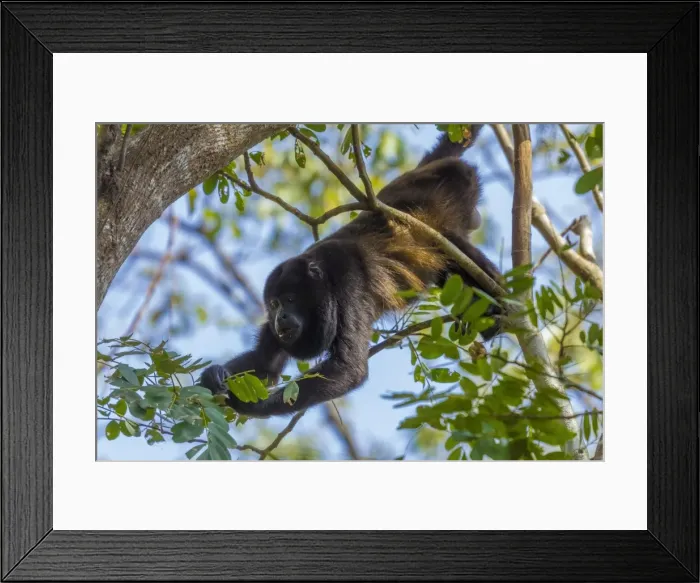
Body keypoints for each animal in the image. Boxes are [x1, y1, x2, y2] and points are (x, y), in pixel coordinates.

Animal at [199, 126, 502, 418]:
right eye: (273, 305)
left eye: (290, 300)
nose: (279, 317)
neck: (323, 275)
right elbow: (264, 364)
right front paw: (214, 376)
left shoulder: (348, 278)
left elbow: (348, 367)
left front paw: (249, 405)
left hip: (455, 189)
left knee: (457, 248)